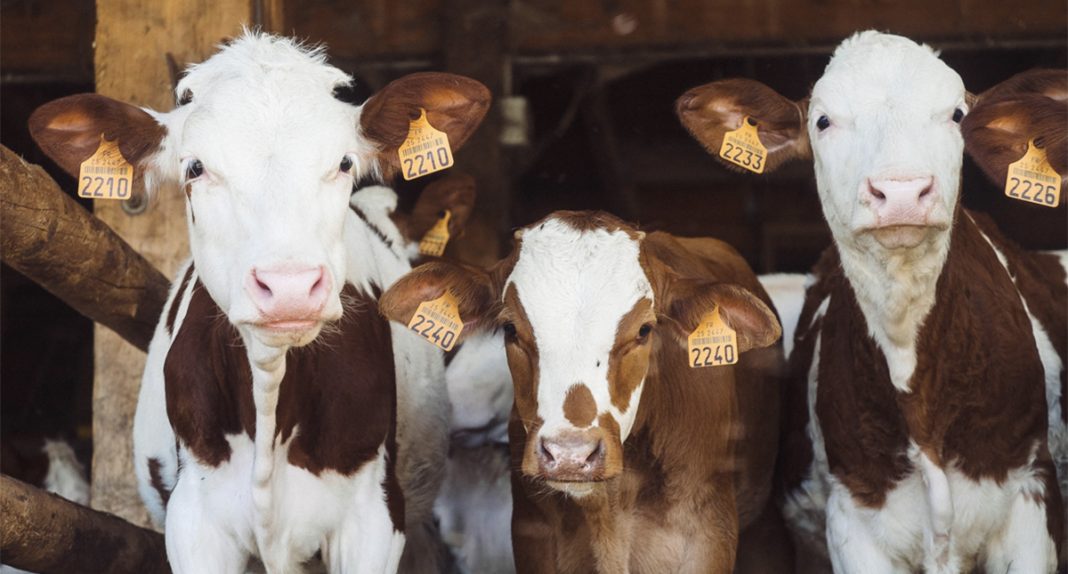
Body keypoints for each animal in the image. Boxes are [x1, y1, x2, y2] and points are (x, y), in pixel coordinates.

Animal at [379, 210, 791, 573]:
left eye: (644, 330)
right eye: (510, 329)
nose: (570, 455)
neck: (609, 508)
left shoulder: (708, 537)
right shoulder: (532, 537)